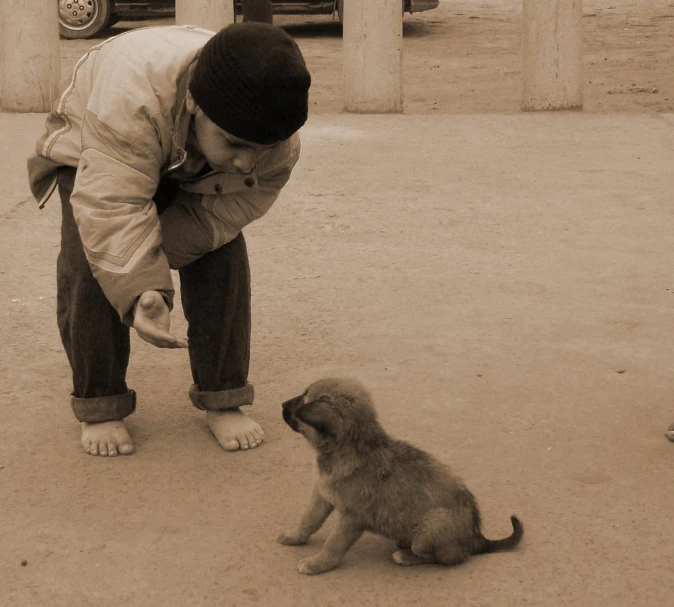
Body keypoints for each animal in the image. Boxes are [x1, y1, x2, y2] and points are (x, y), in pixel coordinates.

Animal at [276, 380, 524, 576]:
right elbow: (309, 519)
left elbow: (333, 544)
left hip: (431, 529)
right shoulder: (322, 495)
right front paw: (294, 536)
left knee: (448, 557)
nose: (282, 404)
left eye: (303, 398)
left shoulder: (352, 517)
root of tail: (476, 537)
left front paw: (317, 563)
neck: (348, 449)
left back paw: (406, 556)